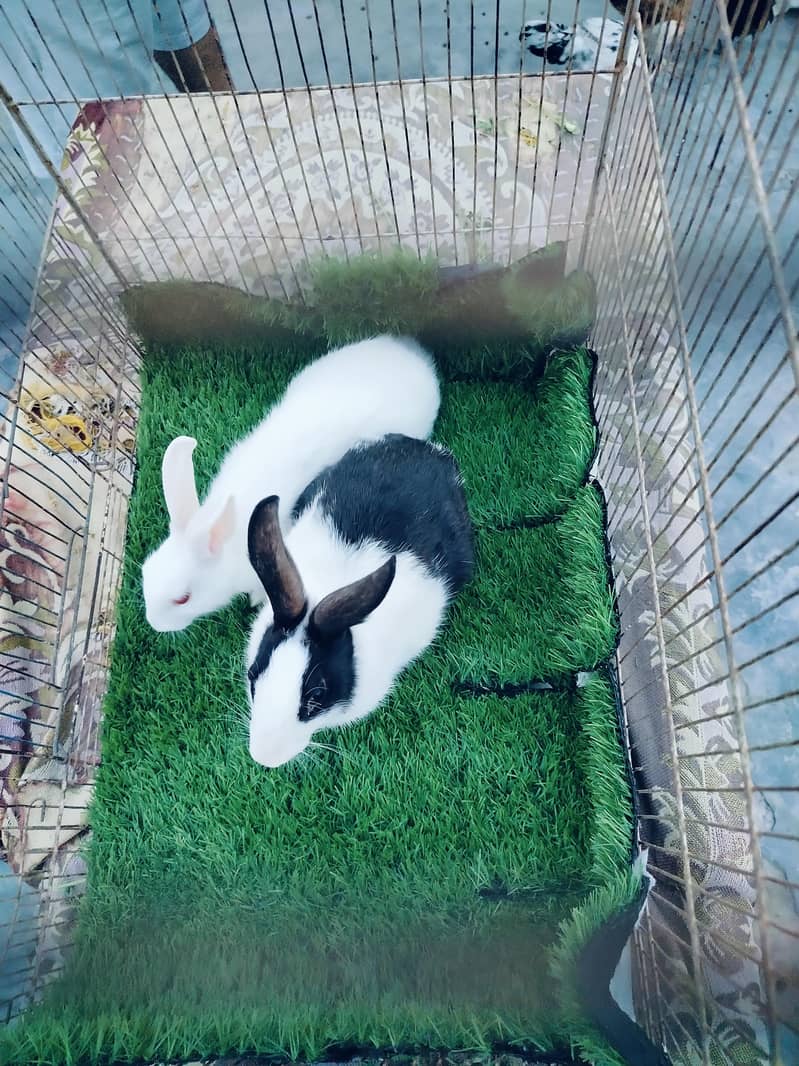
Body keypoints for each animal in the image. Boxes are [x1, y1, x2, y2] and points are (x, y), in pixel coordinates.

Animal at [141, 336, 440, 632]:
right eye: (146, 572)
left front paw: (255, 599)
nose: (155, 624)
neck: (230, 538)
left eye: (183, 599)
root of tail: (415, 356)